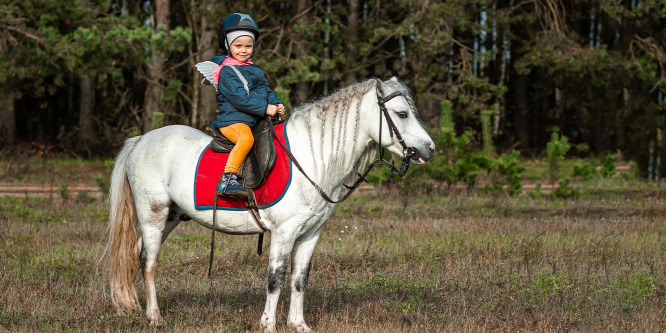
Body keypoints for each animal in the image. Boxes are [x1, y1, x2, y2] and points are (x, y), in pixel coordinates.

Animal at [98, 77, 430, 330]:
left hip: (169, 218)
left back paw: (131, 306)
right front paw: (268, 324)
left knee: (135, 254)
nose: (429, 149)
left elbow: (299, 279)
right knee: (149, 262)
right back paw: (154, 317)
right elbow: (276, 279)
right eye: (402, 114)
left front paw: (298, 324)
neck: (312, 157)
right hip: (153, 214)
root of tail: (141, 140)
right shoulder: (284, 232)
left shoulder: (310, 234)